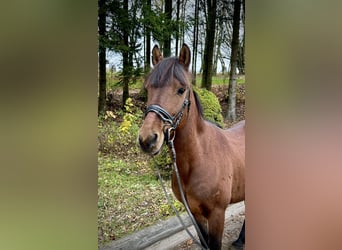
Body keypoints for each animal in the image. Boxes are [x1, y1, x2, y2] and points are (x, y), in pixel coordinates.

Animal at [138, 44, 244, 249]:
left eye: (181, 90)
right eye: (148, 89)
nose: (147, 140)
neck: (200, 157)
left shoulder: (217, 214)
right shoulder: (194, 213)